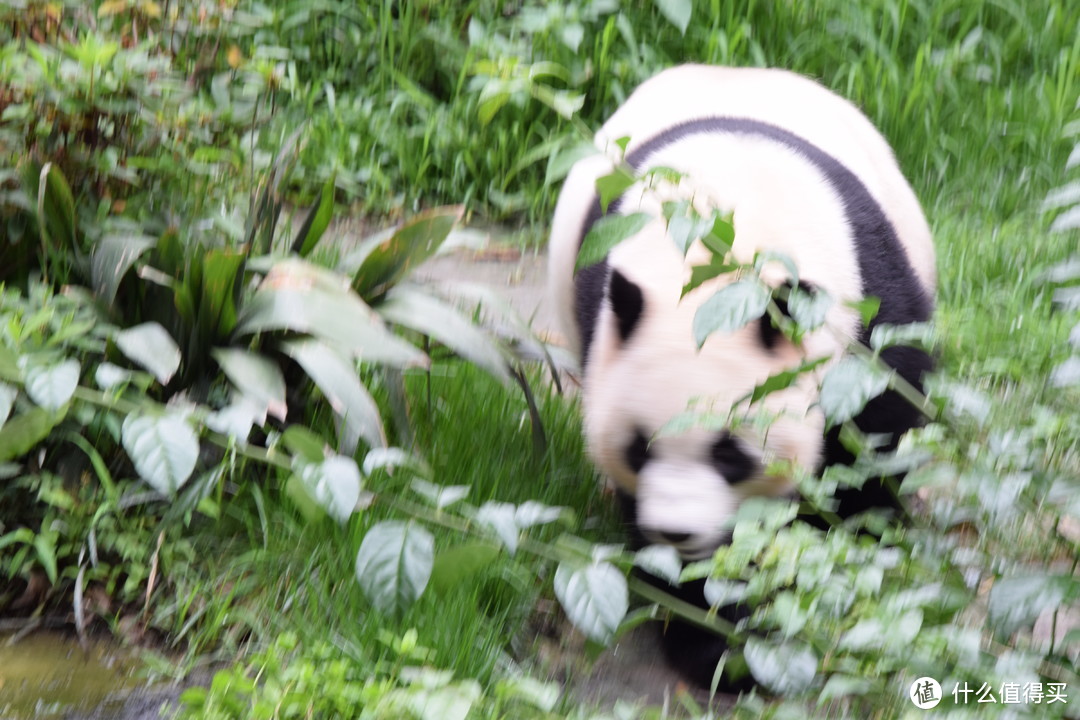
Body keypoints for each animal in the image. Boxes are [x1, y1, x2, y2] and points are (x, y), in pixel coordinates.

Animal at [548, 64, 937, 690]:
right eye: (637, 448)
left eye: (730, 454)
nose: (678, 533)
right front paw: (717, 643)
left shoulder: (868, 308)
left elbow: (871, 448)